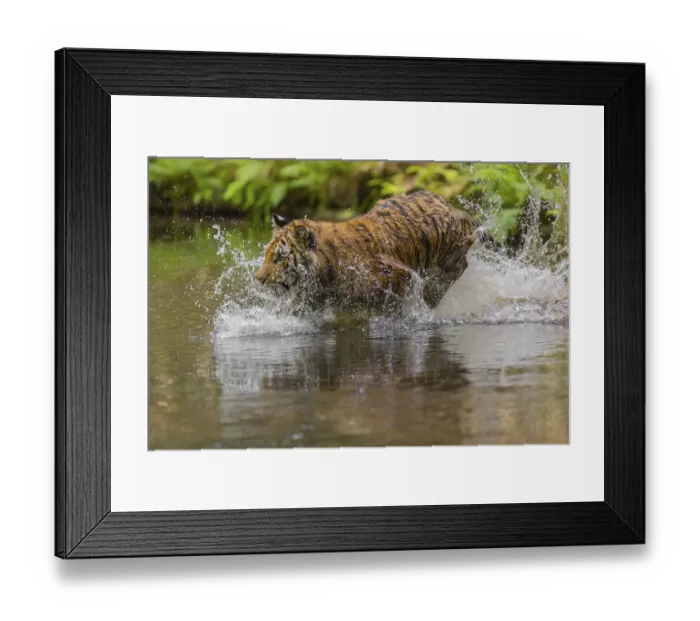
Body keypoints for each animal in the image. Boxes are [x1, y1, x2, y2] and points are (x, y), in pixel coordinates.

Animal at [254, 190, 480, 314]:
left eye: (280, 258)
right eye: (267, 256)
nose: (257, 279)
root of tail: (446, 204)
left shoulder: (399, 278)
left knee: (457, 268)